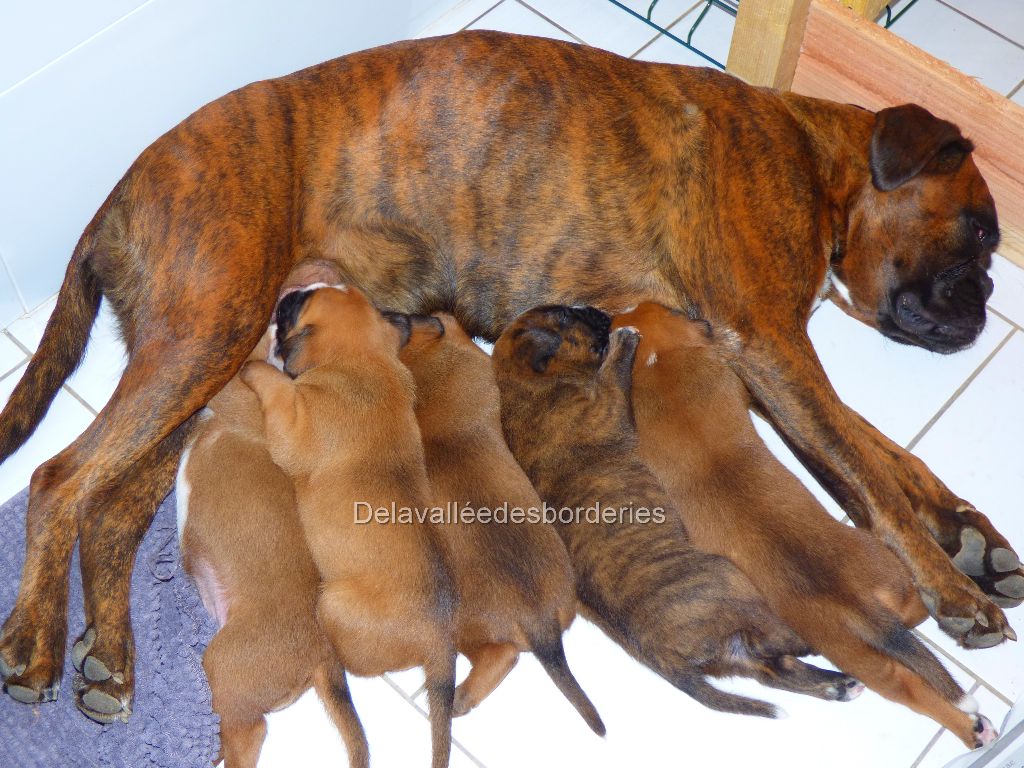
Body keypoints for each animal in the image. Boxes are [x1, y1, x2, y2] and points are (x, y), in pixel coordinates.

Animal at [239, 286, 456, 768]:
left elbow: (275, 383)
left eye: (293, 309)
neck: (364, 361)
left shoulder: (291, 425)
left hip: (332, 602)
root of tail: (441, 639)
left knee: (355, 668)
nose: (288, 291)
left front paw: (256, 363)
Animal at [491, 303, 860, 720]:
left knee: (773, 667)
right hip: (730, 580)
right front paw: (625, 341)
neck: (523, 388)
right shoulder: (608, 405)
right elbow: (616, 374)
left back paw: (837, 685)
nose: (598, 311)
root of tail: (667, 659)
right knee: (776, 644)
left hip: (736, 642)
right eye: (566, 317)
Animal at [614, 303, 991, 749]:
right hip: (874, 635)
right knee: (913, 682)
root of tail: (858, 604)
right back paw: (971, 725)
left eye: (648, 309)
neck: (661, 364)